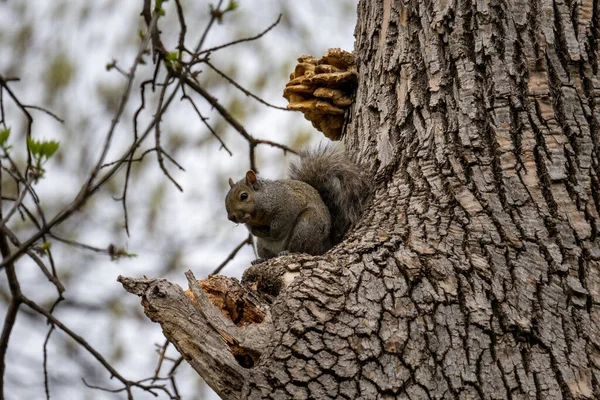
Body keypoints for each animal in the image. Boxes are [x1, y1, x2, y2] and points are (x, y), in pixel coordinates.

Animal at [224, 145, 366, 260]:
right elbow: (254, 231)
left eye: (244, 196)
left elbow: (282, 224)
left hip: (306, 227)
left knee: (299, 249)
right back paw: (261, 259)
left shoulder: (288, 203)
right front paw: (262, 232)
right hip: (262, 246)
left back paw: (286, 252)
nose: (231, 217)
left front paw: (273, 233)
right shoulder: (251, 224)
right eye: (226, 199)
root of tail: (326, 245)